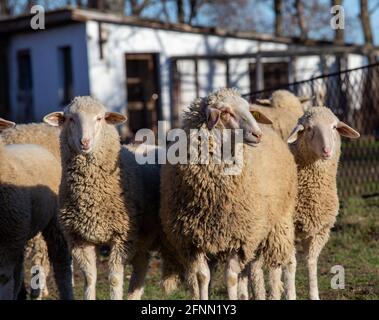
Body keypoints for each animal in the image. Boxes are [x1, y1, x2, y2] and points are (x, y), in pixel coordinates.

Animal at [159, 88, 298, 300]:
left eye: (249, 110)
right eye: (225, 112)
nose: (257, 134)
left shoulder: (238, 238)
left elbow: (231, 277)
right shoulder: (194, 240)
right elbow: (202, 277)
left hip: (280, 221)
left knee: (284, 263)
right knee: (251, 268)